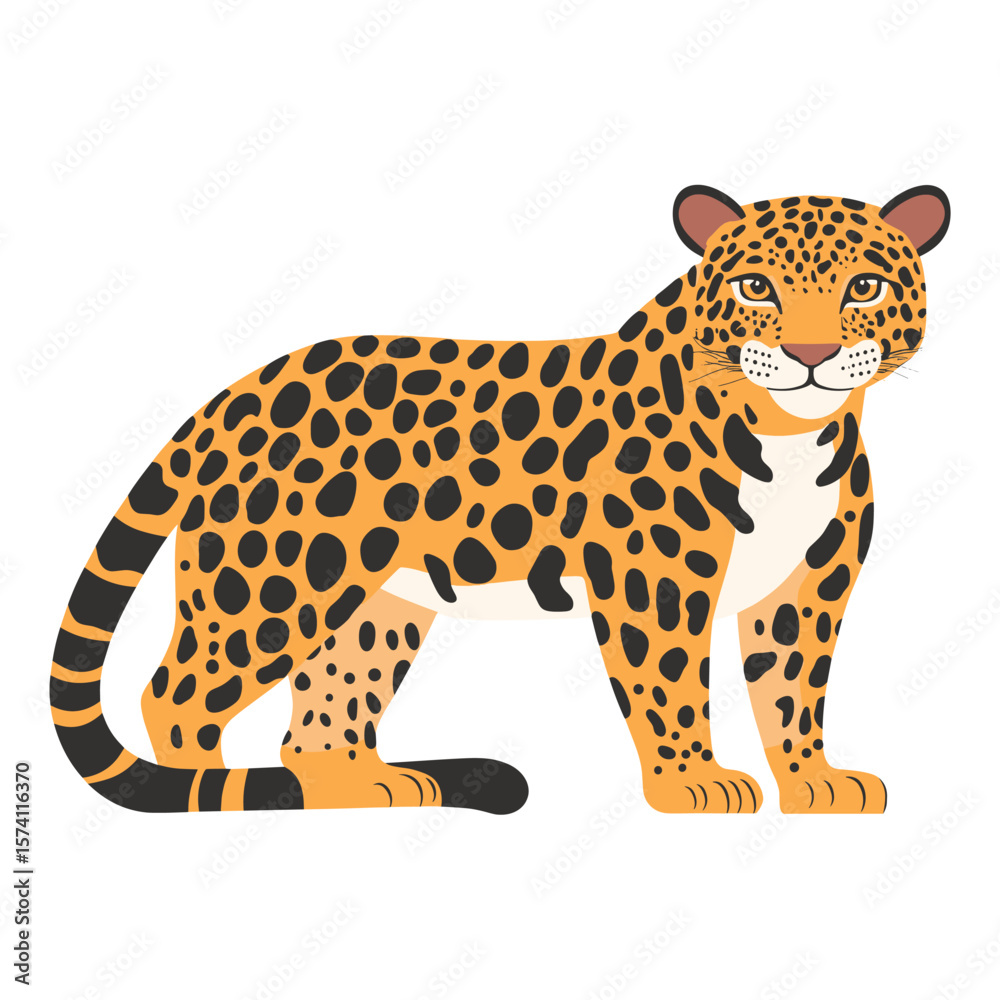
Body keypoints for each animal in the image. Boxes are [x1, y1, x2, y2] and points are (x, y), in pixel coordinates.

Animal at [51, 183, 949, 815]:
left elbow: (793, 689)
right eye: (757, 287)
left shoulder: (809, 584)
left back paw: (360, 787)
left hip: (373, 605)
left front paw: (813, 782)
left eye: (865, 287)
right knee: (175, 695)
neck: (791, 431)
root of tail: (233, 393)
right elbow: (668, 684)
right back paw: (204, 796)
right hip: (273, 584)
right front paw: (692, 782)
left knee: (319, 718)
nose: (811, 353)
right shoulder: (653, 580)